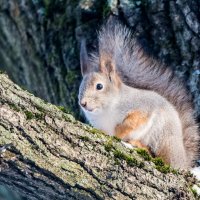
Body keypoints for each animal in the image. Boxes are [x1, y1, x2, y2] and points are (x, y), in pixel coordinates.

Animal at [77, 20, 199, 170]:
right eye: (80, 87)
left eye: (99, 86)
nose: (83, 103)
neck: (106, 111)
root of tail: (182, 160)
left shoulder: (143, 108)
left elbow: (134, 121)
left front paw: (119, 132)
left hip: (164, 138)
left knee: (164, 159)